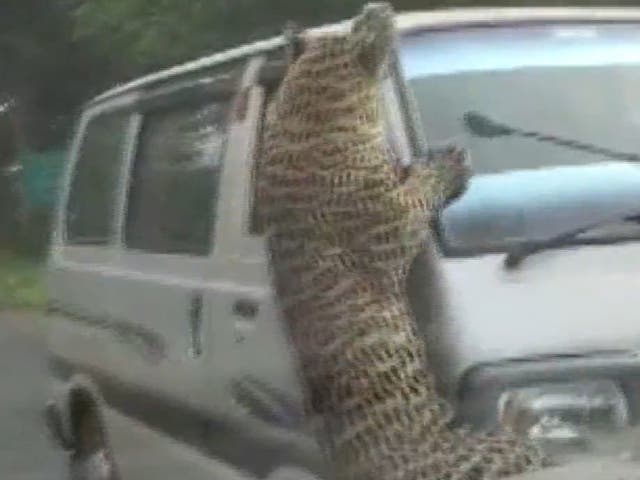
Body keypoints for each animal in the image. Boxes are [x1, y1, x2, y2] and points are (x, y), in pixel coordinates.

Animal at [257, 3, 548, 480]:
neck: (307, 116)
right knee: (514, 452)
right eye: (357, 25)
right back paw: (520, 418)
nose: (377, 7)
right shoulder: (391, 219)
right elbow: (419, 191)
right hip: (464, 460)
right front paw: (449, 163)